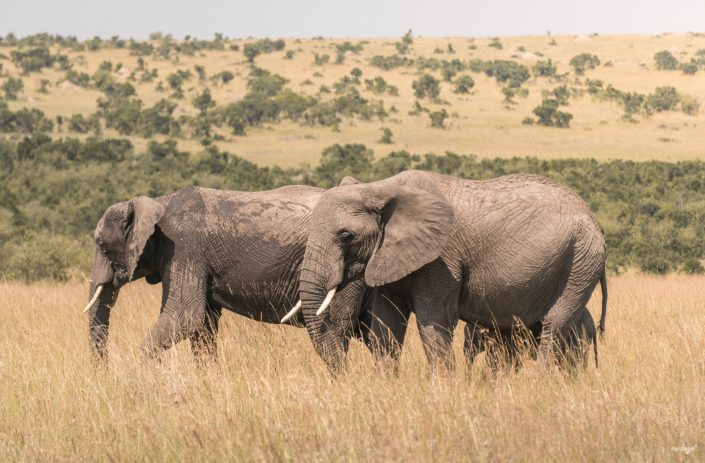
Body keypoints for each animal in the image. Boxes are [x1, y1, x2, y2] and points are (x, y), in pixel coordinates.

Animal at [84, 186, 368, 374]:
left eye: (103, 246)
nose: (104, 373)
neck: (156, 202)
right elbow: (203, 324)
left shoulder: (184, 248)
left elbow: (185, 315)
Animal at [294, 171, 608, 374]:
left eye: (346, 236)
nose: (341, 374)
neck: (380, 188)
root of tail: (592, 217)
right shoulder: (388, 256)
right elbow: (386, 320)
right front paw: (386, 384)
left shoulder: (442, 258)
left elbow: (434, 318)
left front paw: (440, 388)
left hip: (580, 262)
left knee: (554, 325)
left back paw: (539, 382)